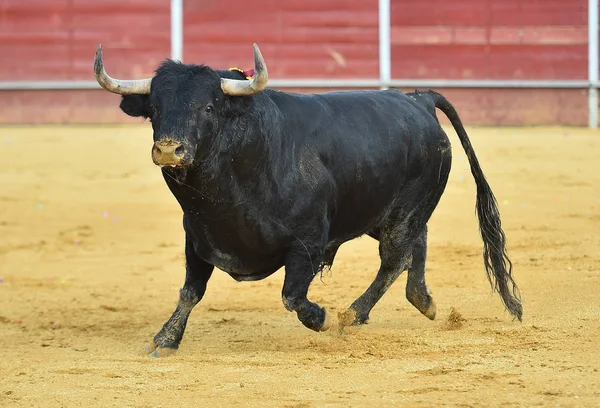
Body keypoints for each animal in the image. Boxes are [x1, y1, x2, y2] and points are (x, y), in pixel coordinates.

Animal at [94, 45, 520, 356]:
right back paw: (423, 301)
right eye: (154, 109)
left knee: (394, 260)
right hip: (391, 212)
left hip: (405, 212)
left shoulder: (308, 243)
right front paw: (166, 339)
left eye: (209, 107)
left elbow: (292, 296)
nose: (169, 149)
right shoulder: (197, 238)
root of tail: (418, 100)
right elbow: (190, 291)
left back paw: (352, 315)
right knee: (418, 244)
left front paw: (322, 317)